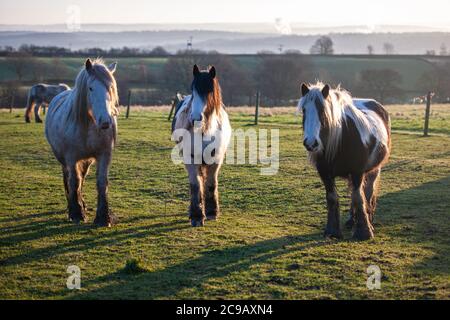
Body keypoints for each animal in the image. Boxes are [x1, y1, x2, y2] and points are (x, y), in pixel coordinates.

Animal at [45, 58, 118, 228]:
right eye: (90, 88)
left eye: (110, 87)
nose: (106, 122)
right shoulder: (71, 158)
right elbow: (74, 181)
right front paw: (77, 214)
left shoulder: (104, 155)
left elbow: (101, 182)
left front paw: (103, 218)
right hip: (64, 160)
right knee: (69, 179)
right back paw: (72, 206)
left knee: (82, 178)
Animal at [172, 63, 232, 226]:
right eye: (193, 90)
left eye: (209, 90)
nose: (195, 118)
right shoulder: (190, 158)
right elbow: (196, 184)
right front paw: (197, 216)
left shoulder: (216, 158)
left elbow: (211, 183)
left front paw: (212, 212)